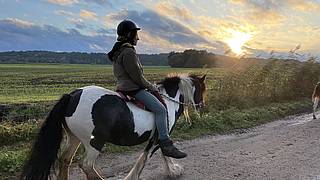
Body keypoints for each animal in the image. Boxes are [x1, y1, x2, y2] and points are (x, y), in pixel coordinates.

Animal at [20, 74, 206, 179]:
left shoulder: (158, 137)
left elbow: (162, 154)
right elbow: (147, 157)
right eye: (202, 89)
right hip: (94, 142)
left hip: (74, 138)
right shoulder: (160, 136)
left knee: (65, 160)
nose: (202, 105)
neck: (168, 101)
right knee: (86, 165)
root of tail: (73, 96)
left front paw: (173, 171)